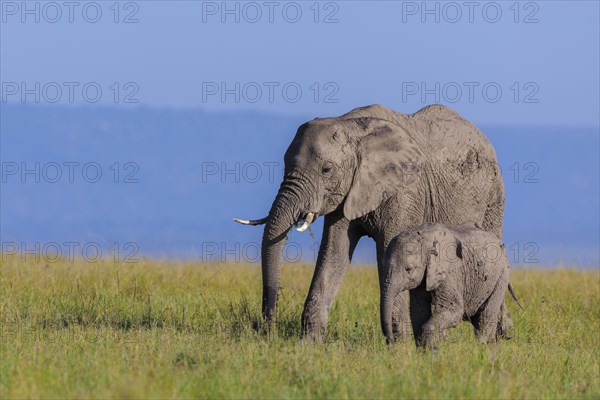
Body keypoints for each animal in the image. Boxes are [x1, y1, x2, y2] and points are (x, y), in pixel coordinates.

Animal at [234, 104, 506, 340]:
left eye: (326, 169)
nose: (269, 328)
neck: (352, 126)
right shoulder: (346, 194)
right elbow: (333, 253)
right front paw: (310, 343)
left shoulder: (404, 191)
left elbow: (390, 252)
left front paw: (399, 347)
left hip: (493, 199)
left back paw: (500, 336)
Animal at [382, 220, 516, 348]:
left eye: (409, 269)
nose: (392, 346)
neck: (425, 238)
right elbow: (418, 313)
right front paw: (425, 353)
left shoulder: (450, 271)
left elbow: (453, 310)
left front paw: (433, 351)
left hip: (501, 276)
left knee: (485, 316)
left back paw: (480, 349)